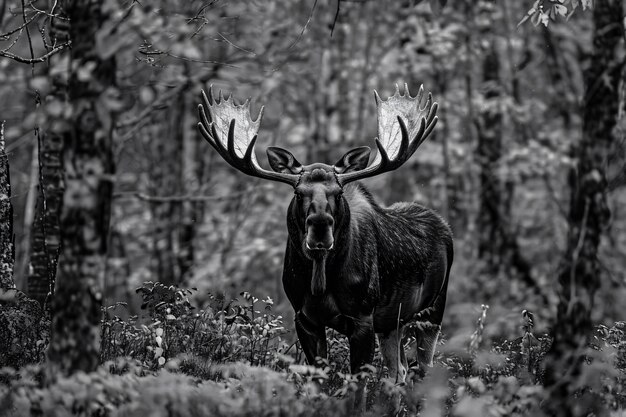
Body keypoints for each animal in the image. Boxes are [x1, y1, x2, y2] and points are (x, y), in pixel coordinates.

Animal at [195, 84, 448, 384]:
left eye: (338, 192)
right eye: (298, 192)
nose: (319, 226)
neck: (320, 279)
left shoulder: (363, 318)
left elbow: (357, 383)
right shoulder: (304, 318)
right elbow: (317, 376)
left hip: (433, 312)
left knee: (425, 370)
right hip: (392, 323)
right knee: (399, 371)